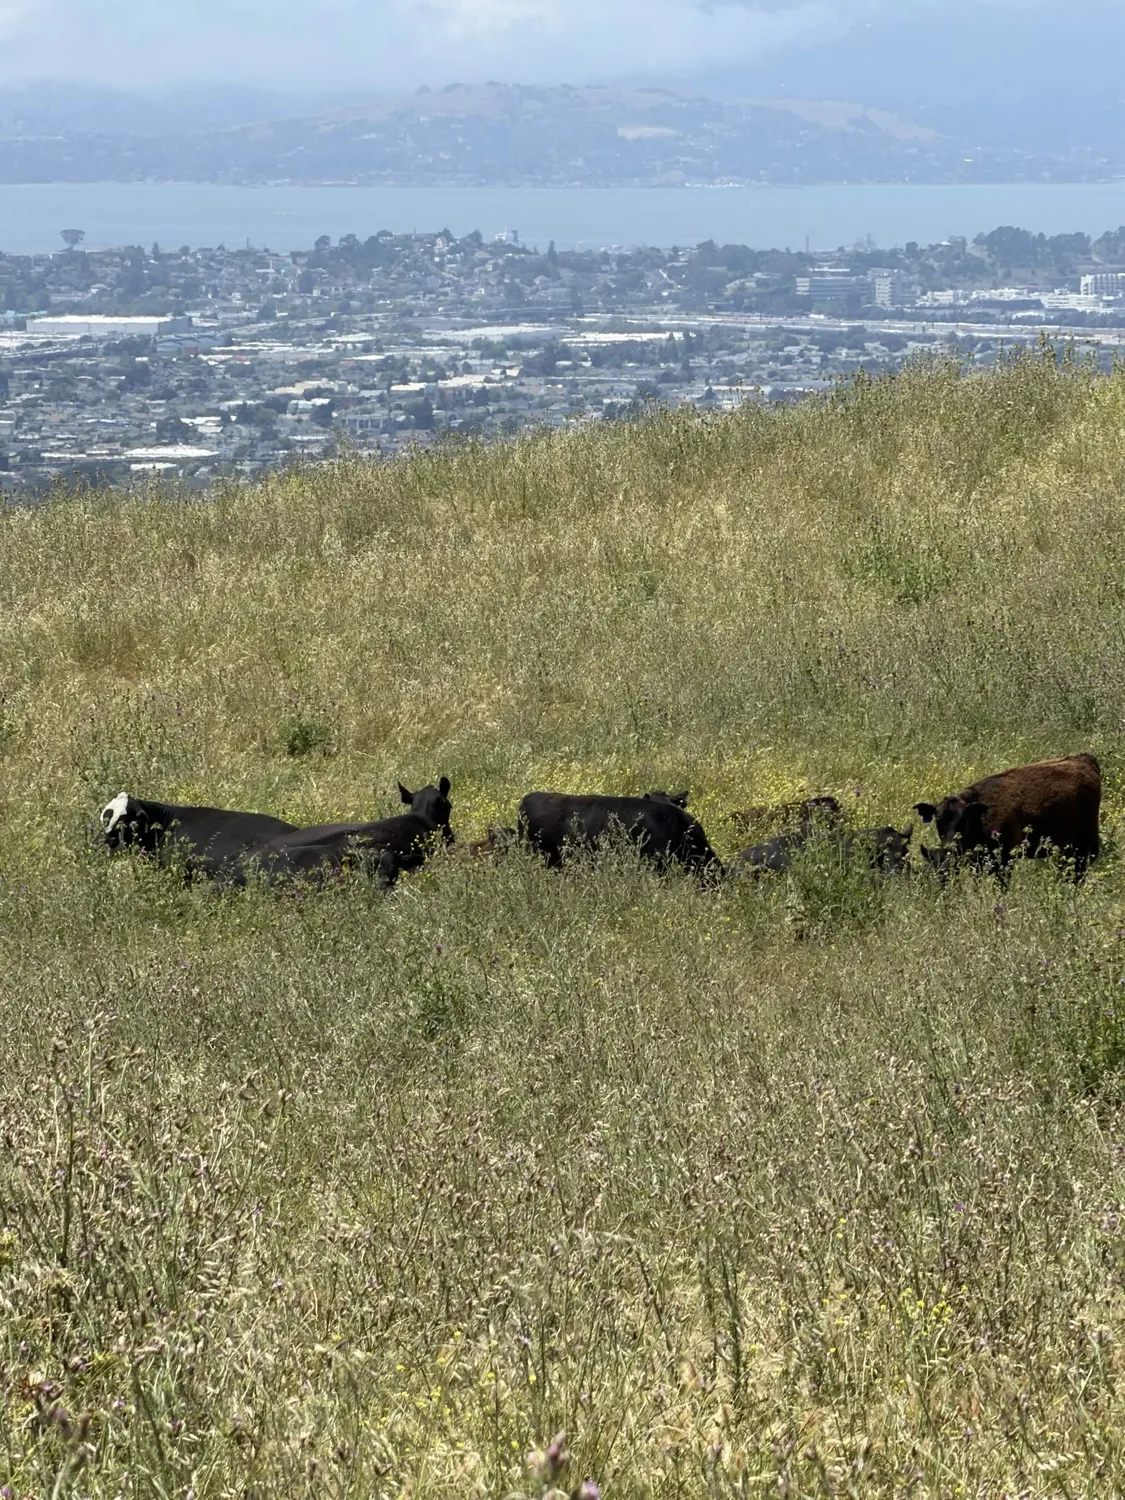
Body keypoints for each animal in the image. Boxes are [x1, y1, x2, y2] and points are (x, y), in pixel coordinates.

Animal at [914, 754, 1101, 881]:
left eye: (962, 820)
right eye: (938, 819)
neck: (979, 816)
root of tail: (1084, 760)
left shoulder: (1005, 860)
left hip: (1082, 844)